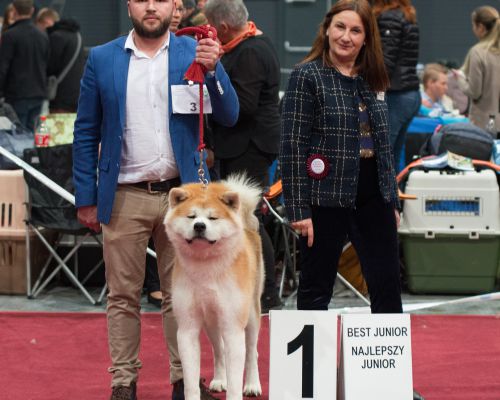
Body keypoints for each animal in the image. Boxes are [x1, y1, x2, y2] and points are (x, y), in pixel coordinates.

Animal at [165, 176, 266, 400]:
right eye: (191, 216)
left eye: (213, 218)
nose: (199, 226)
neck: (206, 265)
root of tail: (247, 225)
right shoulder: (187, 328)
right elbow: (191, 381)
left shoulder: (233, 327)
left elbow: (237, 376)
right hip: (211, 322)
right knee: (218, 350)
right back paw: (220, 380)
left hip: (251, 316)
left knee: (252, 352)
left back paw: (252, 384)